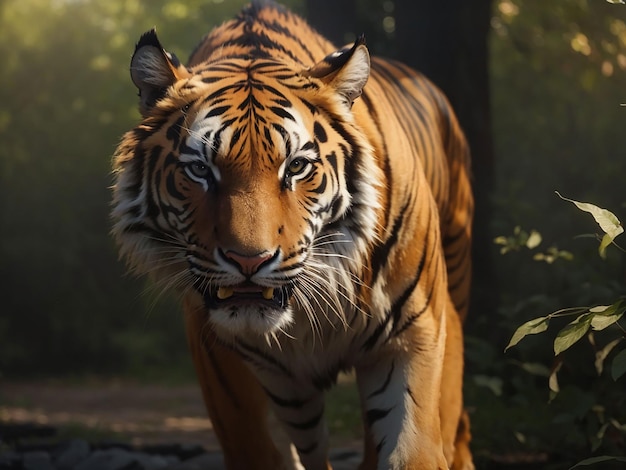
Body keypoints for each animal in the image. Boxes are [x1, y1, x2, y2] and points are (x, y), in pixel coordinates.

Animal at [111, 1, 472, 468]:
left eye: (297, 167)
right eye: (200, 170)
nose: (249, 260)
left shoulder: (413, 335)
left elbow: (413, 447)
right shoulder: (220, 359)